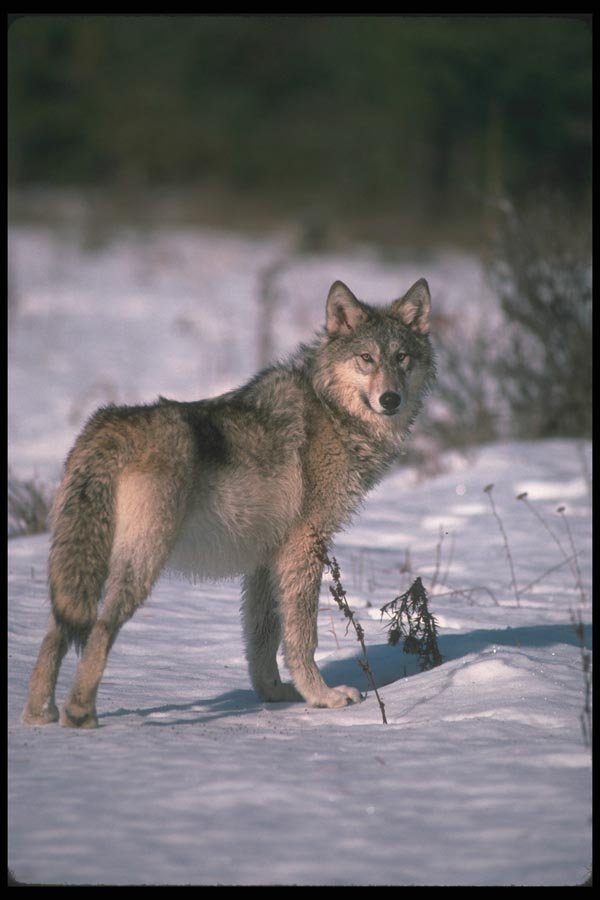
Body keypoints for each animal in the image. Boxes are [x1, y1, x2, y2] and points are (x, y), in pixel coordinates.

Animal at [23, 278, 435, 727]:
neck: (332, 411)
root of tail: (109, 427)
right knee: (99, 628)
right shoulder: (304, 545)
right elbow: (301, 637)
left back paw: (39, 715)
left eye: (402, 358)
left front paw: (274, 694)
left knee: (55, 630)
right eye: (366, 358)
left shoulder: (265, 557)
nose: (390, 399)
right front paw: (321, 697)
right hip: (140, 565)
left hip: (83, 564)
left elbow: (262, 639)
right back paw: (80, 715)